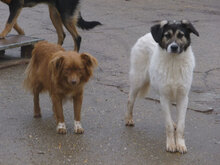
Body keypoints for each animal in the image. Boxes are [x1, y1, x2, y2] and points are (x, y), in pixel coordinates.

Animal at [125, 20, 199, 153]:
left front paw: (180, 144)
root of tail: (146, 35)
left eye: (180, 35)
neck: (174, 62)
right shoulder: (164, 97)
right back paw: (128, 118)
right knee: (130, 100)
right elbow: (168, 125)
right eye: (167, 35)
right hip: (137, 81)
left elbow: (181, 125)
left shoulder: (183, 97)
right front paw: (171, 144)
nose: (174, 47)